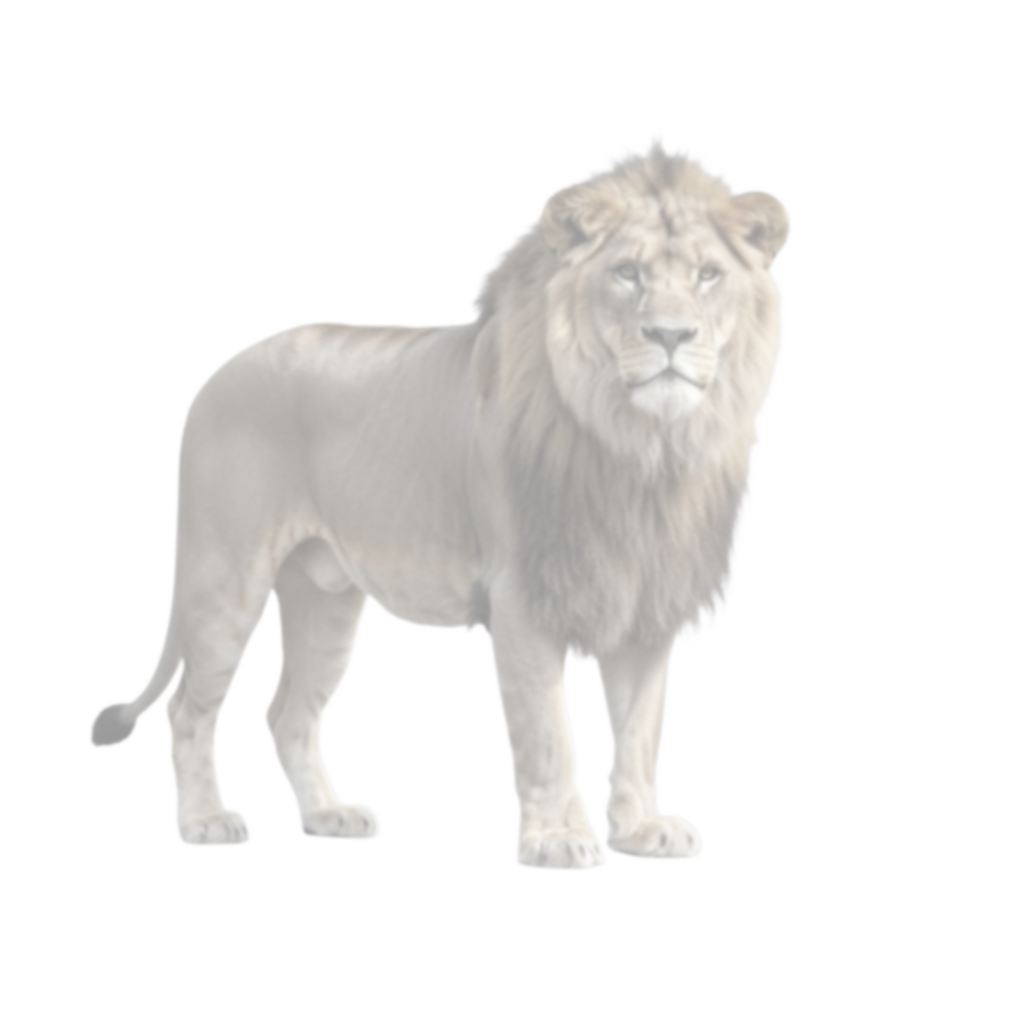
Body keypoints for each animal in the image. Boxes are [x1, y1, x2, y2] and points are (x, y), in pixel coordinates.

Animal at [91, 140, 789, 868]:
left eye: (708, 274)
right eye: (627, 273)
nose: (671, 336)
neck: (640, 449)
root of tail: (211, 377)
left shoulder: (645, 596)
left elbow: (641, 729)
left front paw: (641, 827)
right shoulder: (519, 592)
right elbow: (548, 732)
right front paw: (558, 838)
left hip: (324, 599)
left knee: (289, 714)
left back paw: (328, 815)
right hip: (226, 576)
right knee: (187, 709)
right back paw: (205, 820)